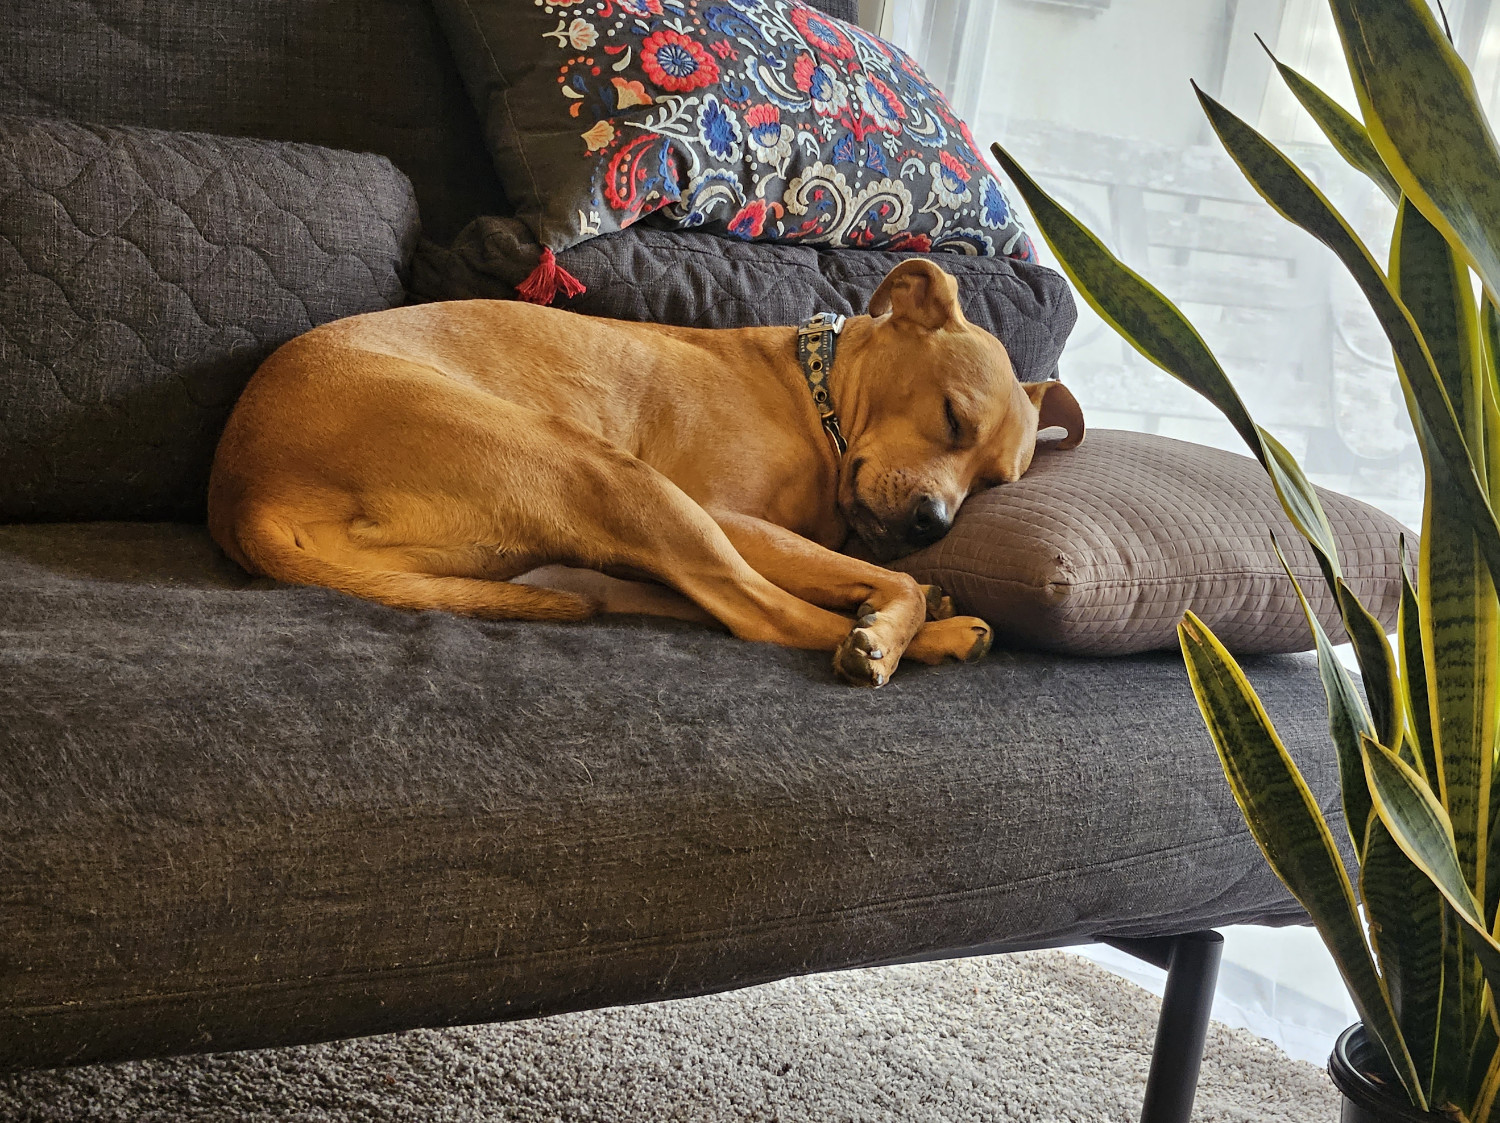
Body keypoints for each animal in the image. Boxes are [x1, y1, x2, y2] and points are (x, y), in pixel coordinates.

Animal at [208, 259, 1080, 683]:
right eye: (952, 418)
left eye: (994, 483)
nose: (934, 525)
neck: (817, 397)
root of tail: (243, 493)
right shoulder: (727, 515)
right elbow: (876, 581)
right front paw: (892, 620)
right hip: (609, 474)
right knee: (763, 613)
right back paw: (909, 636)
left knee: (712, 602)